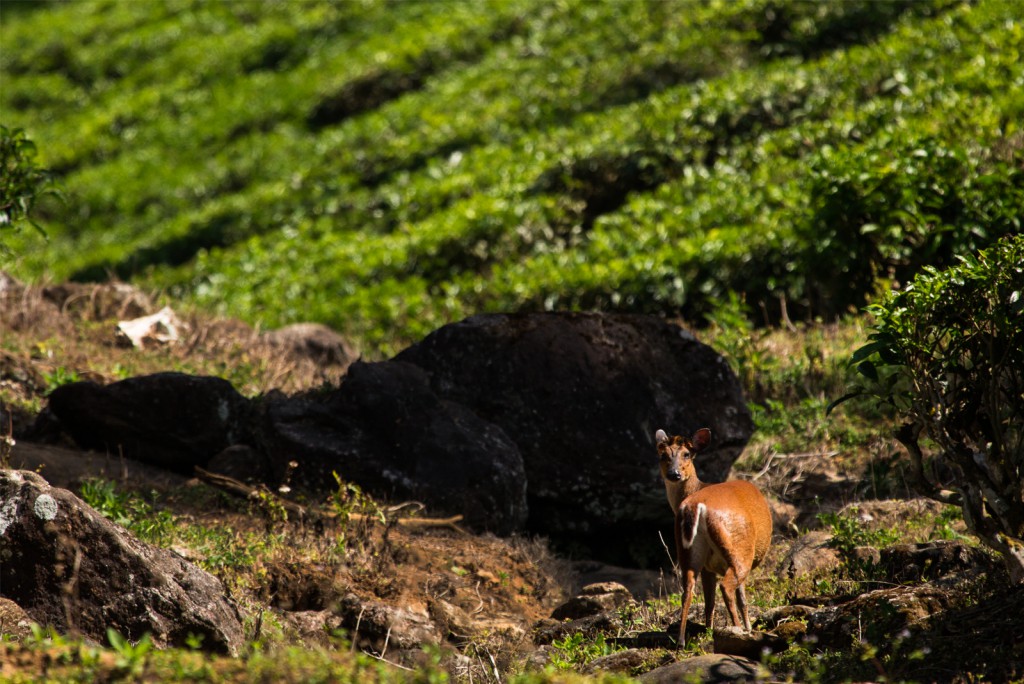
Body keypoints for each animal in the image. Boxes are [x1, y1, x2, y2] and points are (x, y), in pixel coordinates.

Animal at [655, 428, 770, 647]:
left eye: (687, 454)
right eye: (663, 455)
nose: (674, 474)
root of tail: (695, 506)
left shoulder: (708, 567)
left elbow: (710, 600)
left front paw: (708, 629)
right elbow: (742, 598)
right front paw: (748, 627)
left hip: (689, 551)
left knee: (688, 590)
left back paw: (681, 640)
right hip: (740, 549)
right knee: (727, 587)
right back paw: (739, 630)